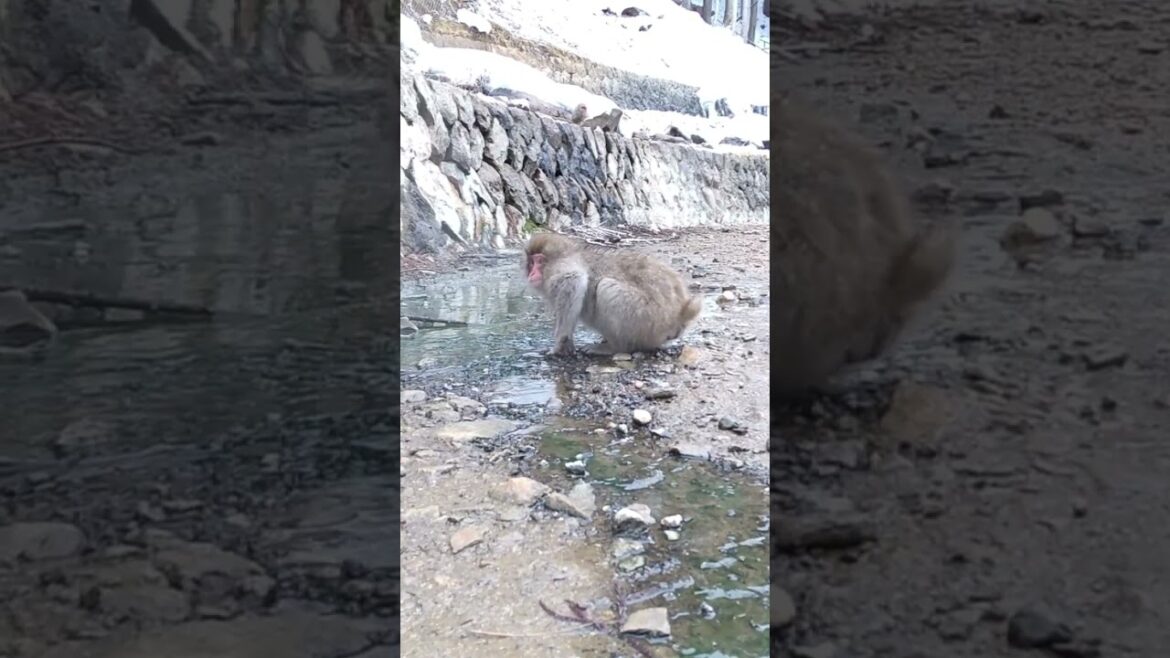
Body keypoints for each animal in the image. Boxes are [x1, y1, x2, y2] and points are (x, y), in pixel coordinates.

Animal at [523, 232, 703, 356]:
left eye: (539, 261)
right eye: (531, 262)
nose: (532, 274)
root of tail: (680, 315)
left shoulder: (561, 267)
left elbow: (574, 280)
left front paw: (560, 344)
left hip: (646, 319)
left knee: (605, 288)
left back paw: (614, 347)